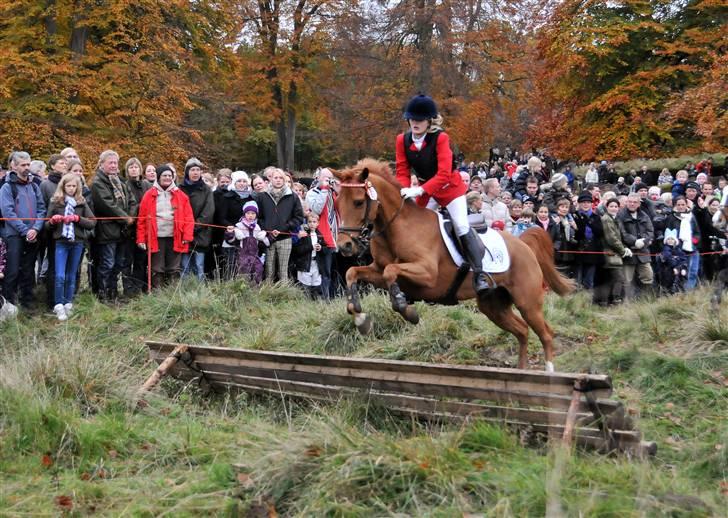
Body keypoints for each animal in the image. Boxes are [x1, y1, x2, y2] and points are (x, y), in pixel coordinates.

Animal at [332, 160, 576, 372]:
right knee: (523, 331)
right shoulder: (377, 271)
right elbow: (353, 272)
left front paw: (406, 309)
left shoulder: (427, 274)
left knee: (545, 333)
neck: (395, 227)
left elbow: (391, 272)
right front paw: (360, 318)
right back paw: (521, 371)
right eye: (336, 203)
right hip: (493, 305)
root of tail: (523, 244)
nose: (344, 245)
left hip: (527, 302)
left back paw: (548, 373)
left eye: (358, 202)